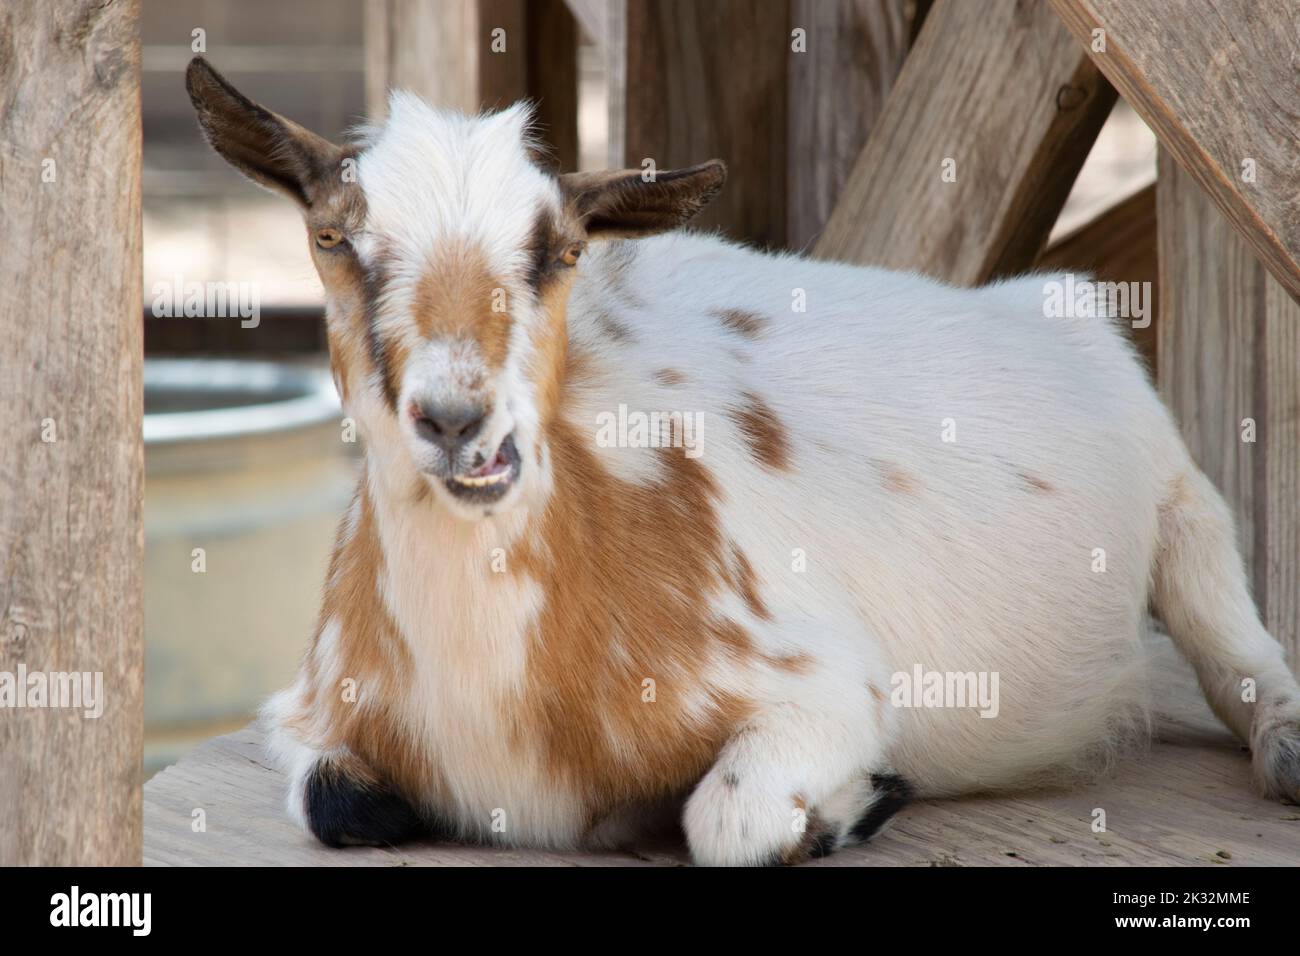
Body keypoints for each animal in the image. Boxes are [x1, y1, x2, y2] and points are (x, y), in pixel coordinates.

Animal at [186, 57, 1300, 866]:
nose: (460, 421)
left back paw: (1285, 742)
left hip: (1182, 500)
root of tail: (1048, 300)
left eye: (561, 251)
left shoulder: (827, 684)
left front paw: (855, 804)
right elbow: (335, 801)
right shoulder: (311, 709)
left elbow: (729, 823)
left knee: (1228, 630)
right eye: (332, 238)